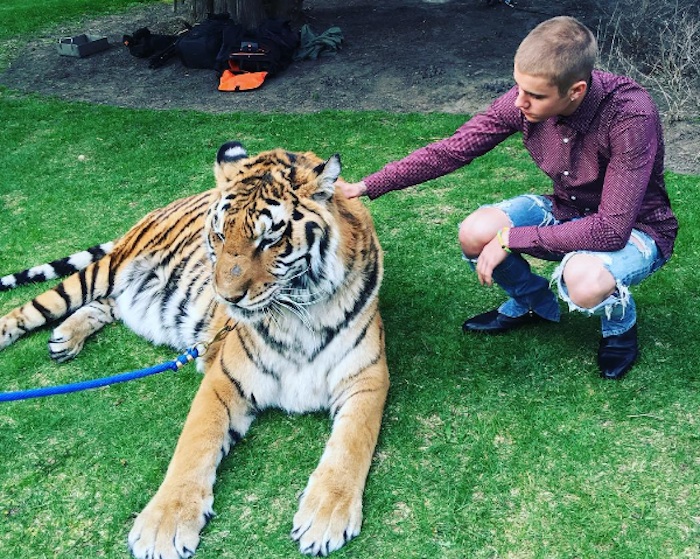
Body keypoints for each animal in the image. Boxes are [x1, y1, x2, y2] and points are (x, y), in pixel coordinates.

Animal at [0, 144, 388, 559]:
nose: (227, 297)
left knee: (106, 305)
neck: (298, 313)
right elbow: (195, 444)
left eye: (269, 239)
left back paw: (65, 339)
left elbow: (350, 445)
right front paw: (164, 525)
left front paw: (325, 516)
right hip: (104, 271)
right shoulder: (224, 379)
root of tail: (167, 205)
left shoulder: (367, 377)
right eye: (219, 235)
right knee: (32, 308)